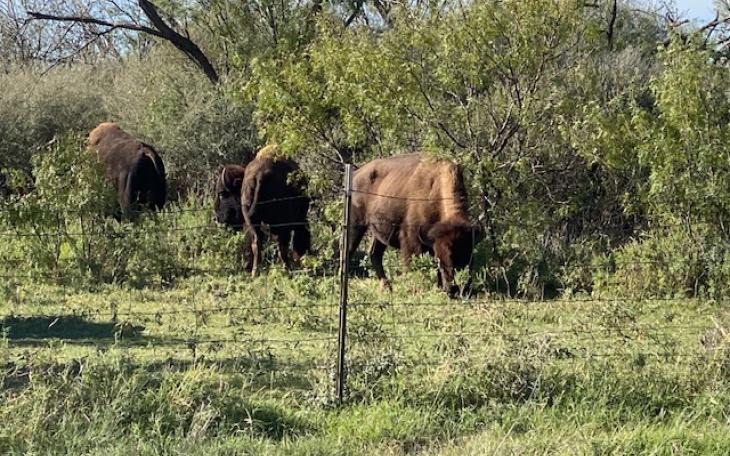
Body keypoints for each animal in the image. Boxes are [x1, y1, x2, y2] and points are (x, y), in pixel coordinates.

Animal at [347, 153, 481, 296]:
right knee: (349, 251)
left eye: (469, 257)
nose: (456, 289)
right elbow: (413, 264)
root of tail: (356, 173)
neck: (436, 188)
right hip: (355, 224)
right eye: (441, 260)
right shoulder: (411, 238)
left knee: (374, 254)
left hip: (379, 233)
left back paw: (387, 287)